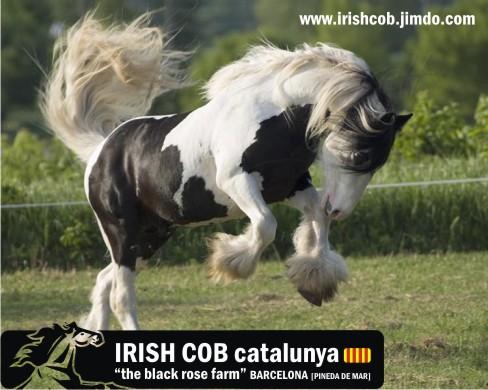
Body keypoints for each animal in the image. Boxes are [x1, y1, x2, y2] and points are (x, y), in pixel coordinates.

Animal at [41, 12, 412, 330]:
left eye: (377, 163)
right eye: (358, 153)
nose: (341, 211)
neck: (277, 118)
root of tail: (100, 150)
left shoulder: (292, 186)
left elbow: (315, 218)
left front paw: (313, 283)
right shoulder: (237, 181)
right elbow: (265, 226)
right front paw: (230, 261)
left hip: (152, 235)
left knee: (105, 280)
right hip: (121, 232)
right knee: (120, 294)